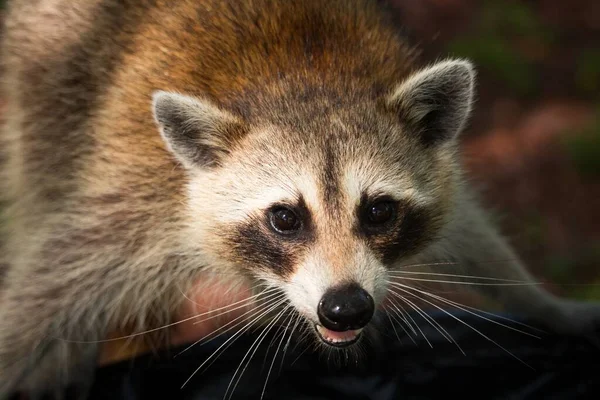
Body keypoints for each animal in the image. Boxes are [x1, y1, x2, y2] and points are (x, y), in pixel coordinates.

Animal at [1, 0, 600, 396]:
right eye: (285, 218)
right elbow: (48, 283)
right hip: (45, 94)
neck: (308, 80)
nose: (346, 305)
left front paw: (545, 305)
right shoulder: (142, 192)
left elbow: (473, 230)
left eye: (379, 211)